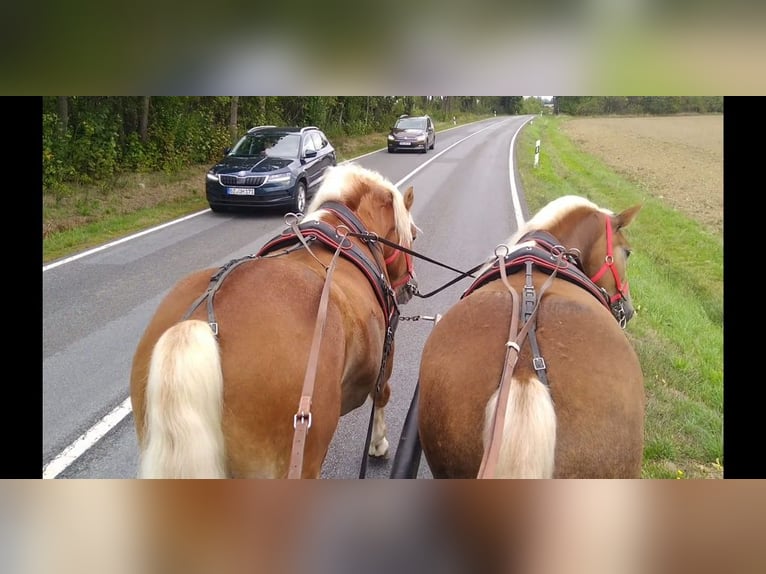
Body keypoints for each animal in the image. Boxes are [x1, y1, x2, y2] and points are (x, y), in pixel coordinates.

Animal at [130, 163, 419, 478]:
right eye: (413, 236)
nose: (409, 287)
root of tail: (198, 324)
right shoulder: (385, 359)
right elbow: (382, 397)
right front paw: (378, 445)